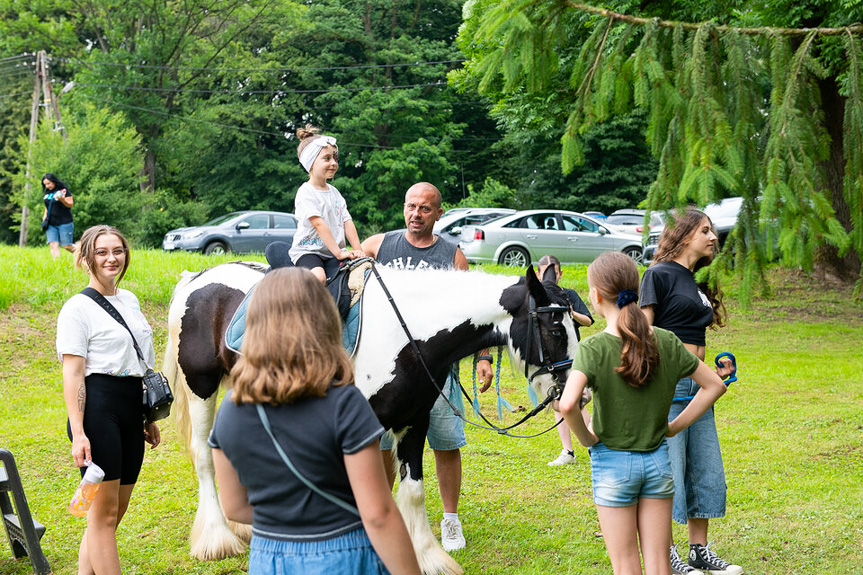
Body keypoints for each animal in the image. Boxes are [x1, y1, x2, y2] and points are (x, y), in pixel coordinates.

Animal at [162, 262, 580, 575]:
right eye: (556, 330)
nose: (577, 390)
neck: (406, 333)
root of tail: (196, 279)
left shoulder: (414, 421)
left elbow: (412, 490)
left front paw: (425, 556)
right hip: (201, 386)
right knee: (203, 455)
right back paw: (217, 536)